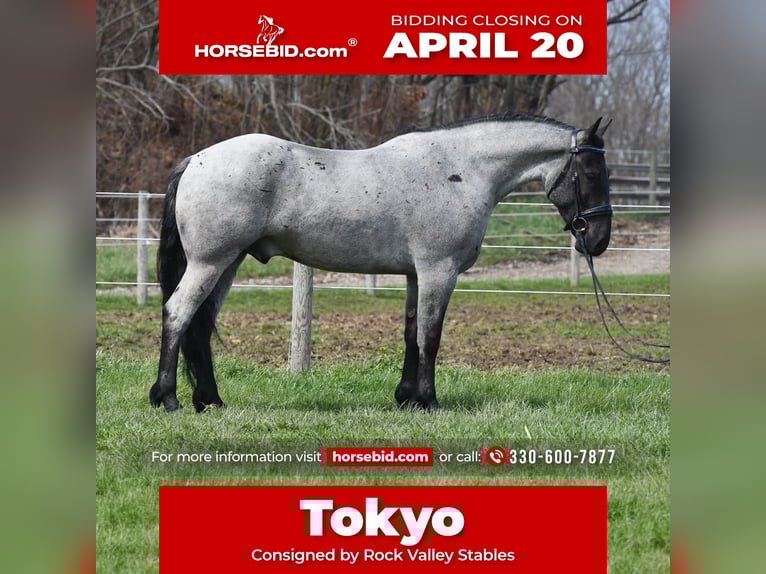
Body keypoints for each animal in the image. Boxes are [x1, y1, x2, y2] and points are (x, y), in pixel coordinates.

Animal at [149, 113, 613, 413]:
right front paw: (429, 401)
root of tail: (195, 160)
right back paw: (167, 398)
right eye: (591, 173)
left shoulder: (415, 275)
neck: (459, 170)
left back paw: (210, 400)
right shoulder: (438, 272)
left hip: (227, 263)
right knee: (177, 314)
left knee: (200, 325)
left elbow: (411, 334)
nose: (599, 239)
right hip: (210, 262)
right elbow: (430, 337)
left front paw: (406, 398)